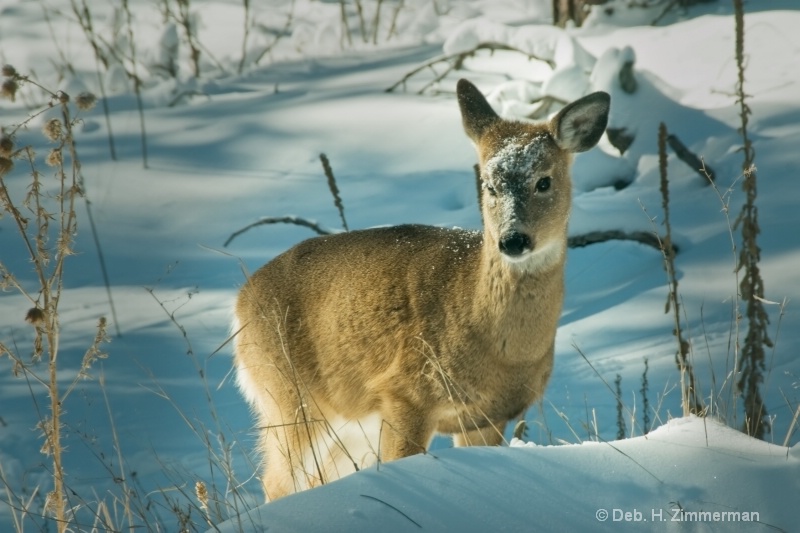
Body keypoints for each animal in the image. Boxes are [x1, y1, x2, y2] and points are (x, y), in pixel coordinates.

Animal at [234, 79, 608, 498]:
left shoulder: (485, 417)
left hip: (344, 422)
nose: (513, 240)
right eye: (488, 185)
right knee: (278, 480)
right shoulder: (404, 393)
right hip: (289, 396)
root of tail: (241, 299)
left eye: (544, 181)